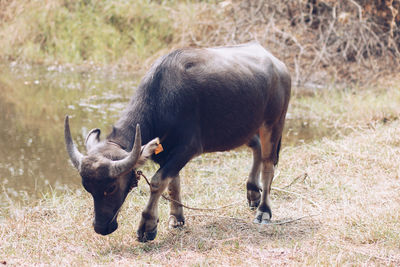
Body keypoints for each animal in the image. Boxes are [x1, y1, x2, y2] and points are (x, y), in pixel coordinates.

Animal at [65, 43, 290, 244]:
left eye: (111, 187)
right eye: (87, 188)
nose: (101, 227)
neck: (161, 100)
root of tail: (279, 65)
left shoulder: (188, 148)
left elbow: (158, 181)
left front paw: (147, 226)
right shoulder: (164, 153)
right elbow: (173, 183)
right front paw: (176, 217)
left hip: (273, 123)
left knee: (269, 164)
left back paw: (263, 210)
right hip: (243, 128)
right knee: (256, 147)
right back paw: (252, 193)